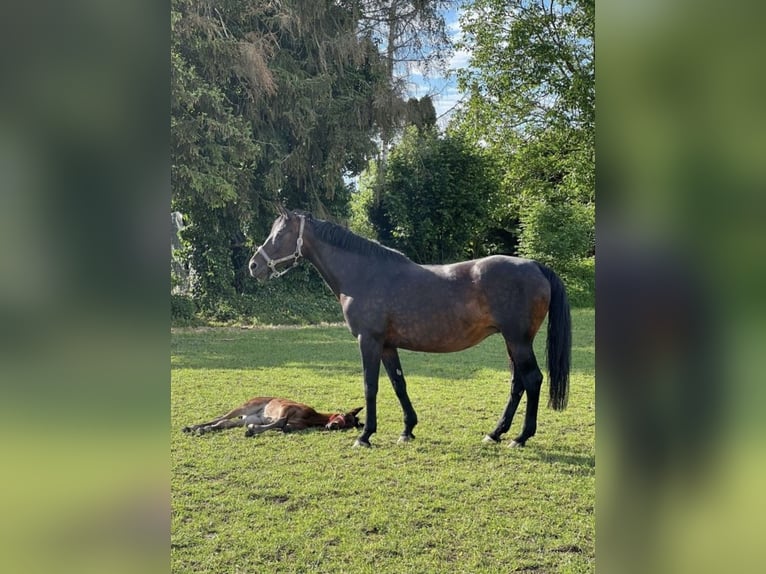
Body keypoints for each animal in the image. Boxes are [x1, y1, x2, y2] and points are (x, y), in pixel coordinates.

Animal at [249, 209, 572, 452]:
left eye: (280, 235)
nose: (253, 266)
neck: (364, 275)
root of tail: (535, 266)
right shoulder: (387, 345)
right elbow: (398, 384)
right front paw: (407, 430)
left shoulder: (369, 341)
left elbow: (371, 386)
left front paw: (364, 436)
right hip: (511, 342)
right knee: (517, 384)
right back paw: (495, 433)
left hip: (518, 341)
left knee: (533, 380)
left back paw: (520, 437)